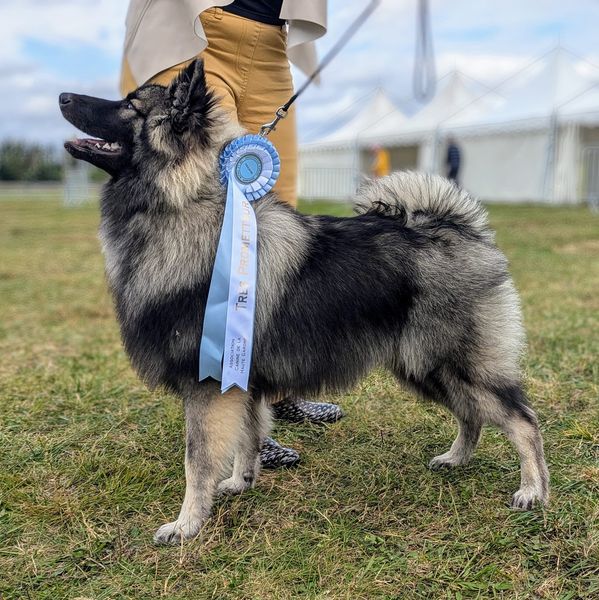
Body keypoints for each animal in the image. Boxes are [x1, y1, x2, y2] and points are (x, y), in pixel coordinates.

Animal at [58, 59, 552, 544]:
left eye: (130, 105)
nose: (63, 96)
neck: (189, 208)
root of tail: (458, 230)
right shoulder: (240, 378)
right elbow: (248, 438)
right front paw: (240, 482)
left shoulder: (208, 382)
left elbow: (197, 461)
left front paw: (186, 525)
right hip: (425, 367)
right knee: (473, 415)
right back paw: (457, 458)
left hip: (453, 362)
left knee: (521, 419)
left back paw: (532, 490)